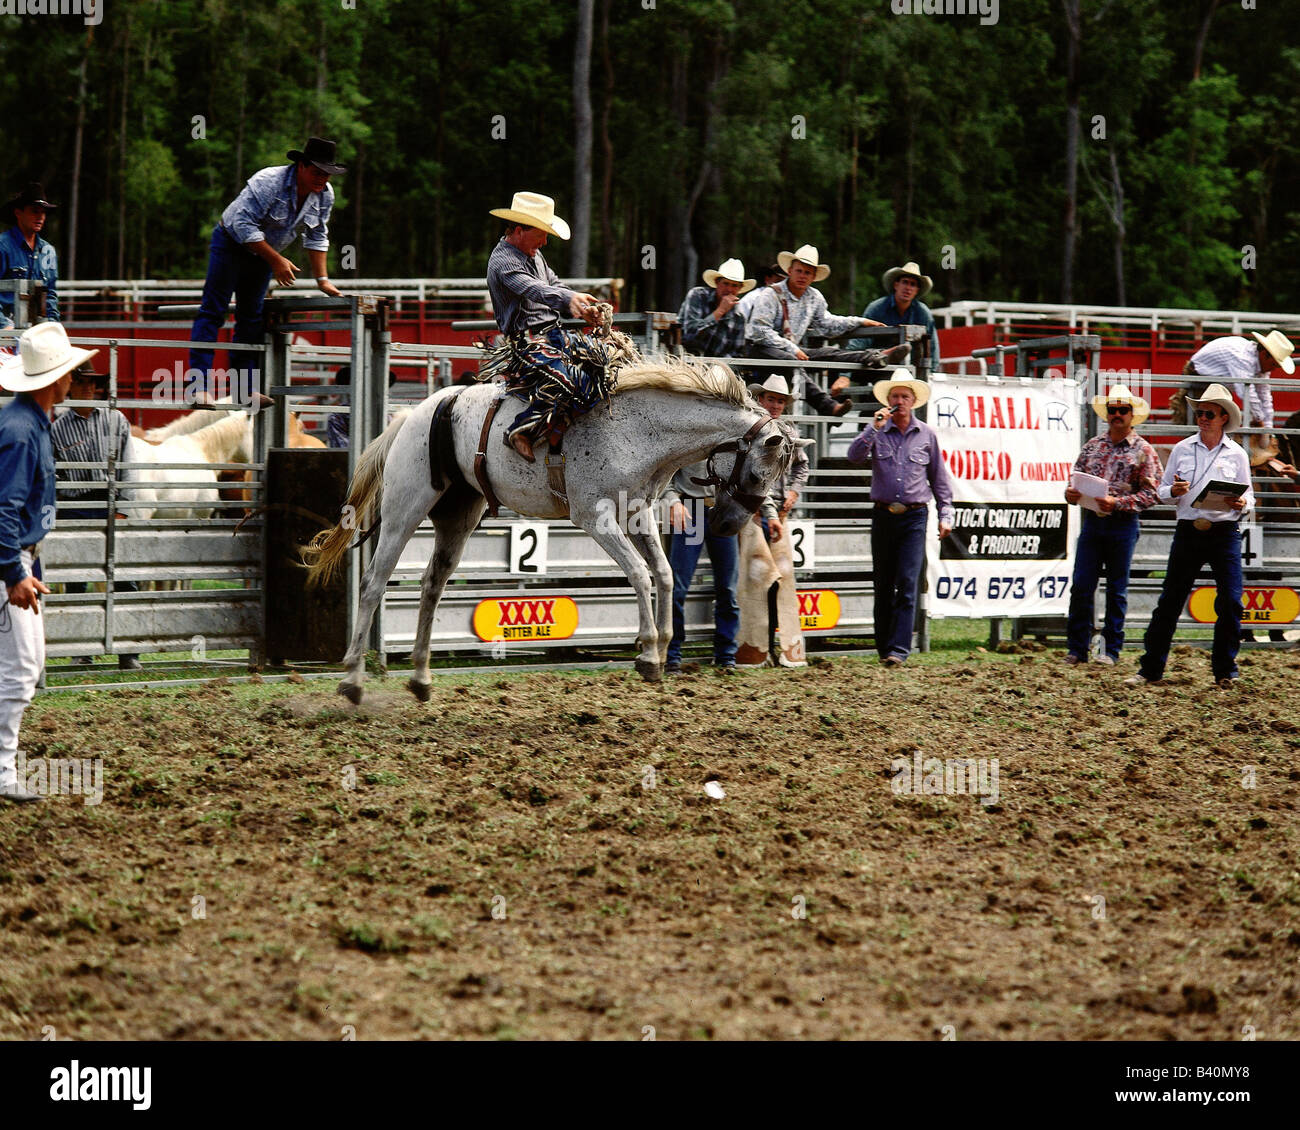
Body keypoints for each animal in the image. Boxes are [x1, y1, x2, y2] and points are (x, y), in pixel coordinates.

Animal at [303, 358, 801, 705]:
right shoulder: (595, 516)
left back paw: (421, 679)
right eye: (759, 472)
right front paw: (646, 656)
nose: (727, 525)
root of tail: (411, 416)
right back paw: (352, 681)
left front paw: (659, 649)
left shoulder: (636, 511)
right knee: (374, 583)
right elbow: (640, 574)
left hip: (457, 514)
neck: (638, 430)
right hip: (405, 507)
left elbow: (661, 573)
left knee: (432, 585)